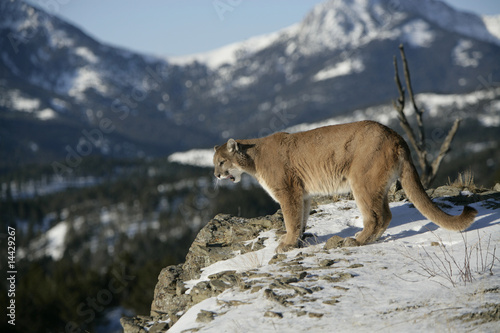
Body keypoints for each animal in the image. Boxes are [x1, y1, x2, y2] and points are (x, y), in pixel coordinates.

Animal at [212, 120, 476, 250]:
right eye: (214, 163)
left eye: (221, 162)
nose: (216, 175)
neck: (253, 159)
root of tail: (395, 134)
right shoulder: (303, 194)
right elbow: (301, 218)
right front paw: (299, 238)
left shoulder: (288, 191)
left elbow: (291, 218)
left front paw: (287, 243)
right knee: (385, 215)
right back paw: (366, 239)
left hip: (362, 181)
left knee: (378, 216)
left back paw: (357, 241)